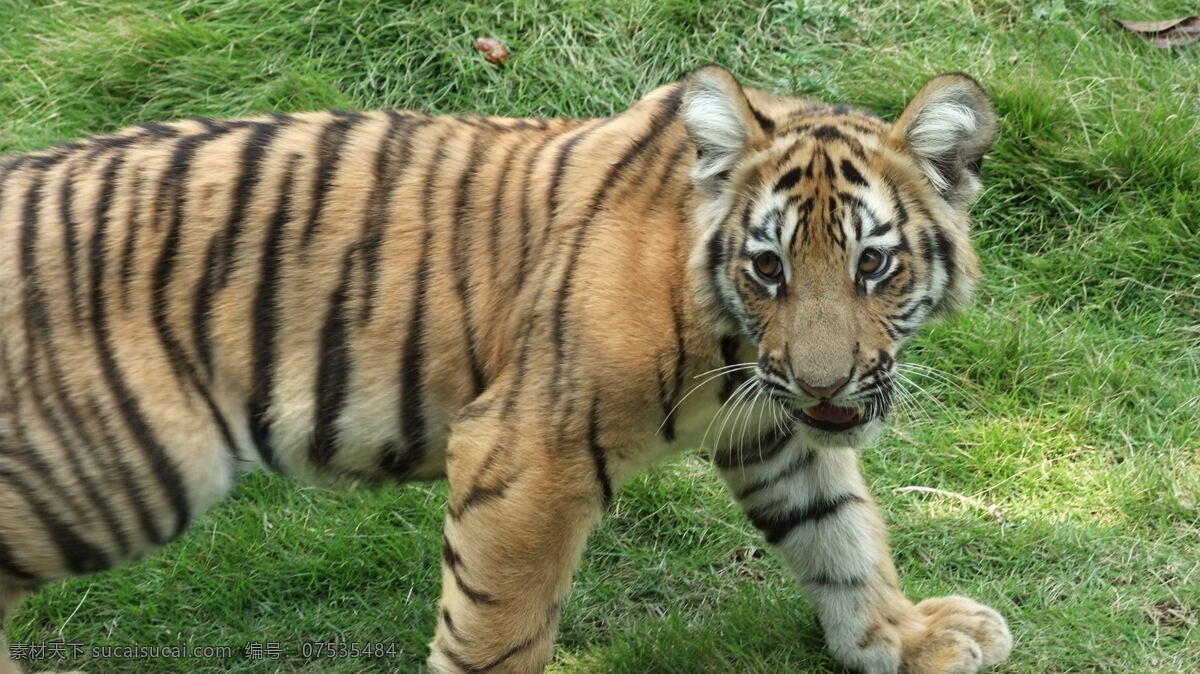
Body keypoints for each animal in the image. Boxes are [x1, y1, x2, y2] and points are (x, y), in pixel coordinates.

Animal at [0, 64, 1012, 671]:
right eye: (768, 267)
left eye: (873, 265)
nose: (824, 383)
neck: (729, 339)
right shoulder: (530, 455)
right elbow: (497, 625)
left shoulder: (772, 428)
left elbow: (840, 533)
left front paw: (905, 637)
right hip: (116, 471)